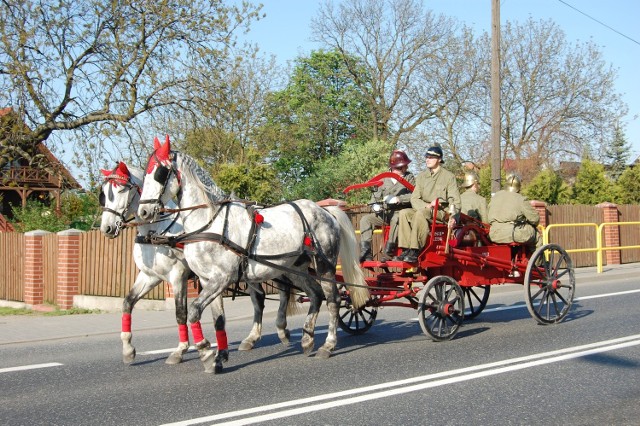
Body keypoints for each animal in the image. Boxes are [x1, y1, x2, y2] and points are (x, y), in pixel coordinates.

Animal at [139, 136, 370, 372]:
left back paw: (328, 344)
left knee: (333, 299)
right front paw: (219, 356)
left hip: (325, 266)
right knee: (316, 294)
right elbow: (218, 319)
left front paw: (205, 352)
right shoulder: (207, 280)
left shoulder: (222, 278)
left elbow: (194, 310)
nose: (143, 212)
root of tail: (324, 210)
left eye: (159, 173)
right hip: (295, 268)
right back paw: (307, 339)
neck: (210, 222)